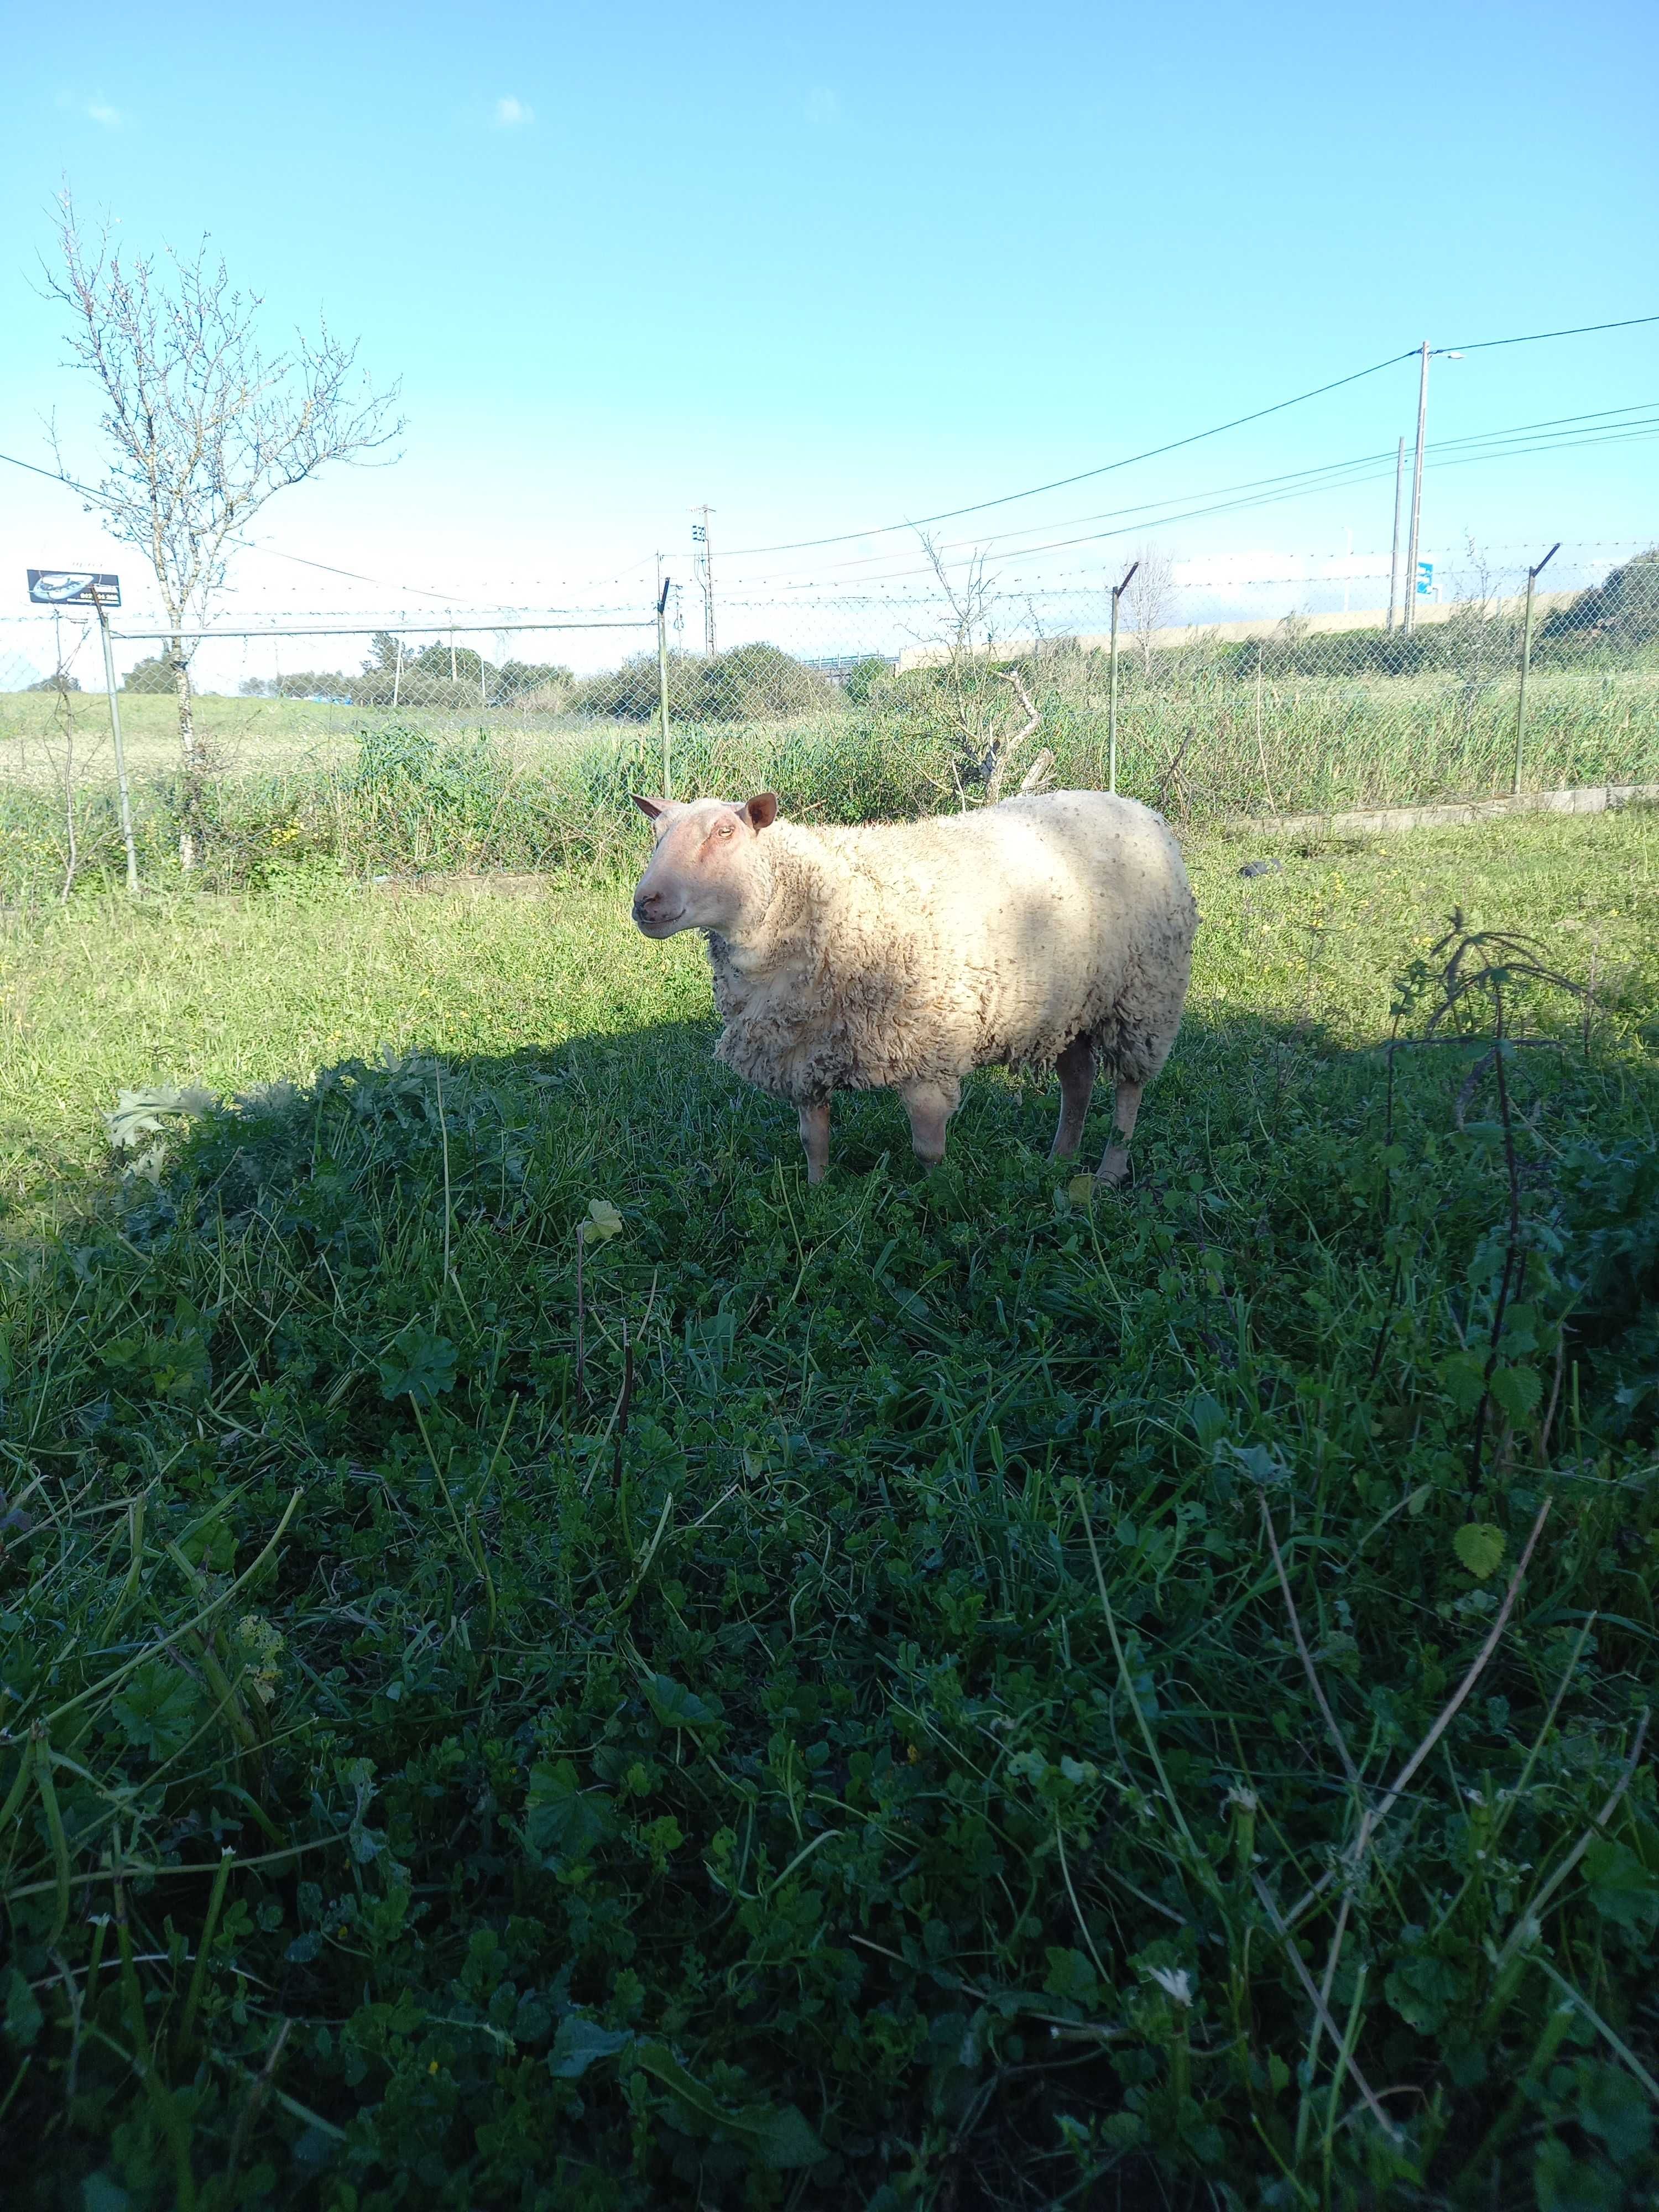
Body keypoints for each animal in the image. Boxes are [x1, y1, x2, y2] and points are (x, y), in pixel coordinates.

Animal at [633, 787, 1194, 1186]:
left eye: (725, 831)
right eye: (657, 834)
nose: (646, 903)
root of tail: (1137, 808)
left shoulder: (928, 1052)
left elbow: (929, 1149)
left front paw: (938, 1202)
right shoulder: (802, 1049)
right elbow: (813, 1139)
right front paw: (817, 1197)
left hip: (1145, 996)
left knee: (1128, 1092)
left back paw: (1108, 1172)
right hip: (1069, 1003)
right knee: (1077, 1081)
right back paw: (1060, 1159)